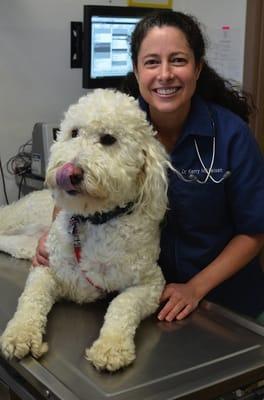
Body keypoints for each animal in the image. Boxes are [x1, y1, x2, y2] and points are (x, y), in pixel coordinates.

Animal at [0, 89, 169, 370]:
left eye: (109, 139)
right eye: (74, 132)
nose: (70, 171)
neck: (93, 221)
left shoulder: (151, 284)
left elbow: (123, 305)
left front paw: (111, 346)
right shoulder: (46, 268)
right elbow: (30, 299)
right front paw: (20, 333)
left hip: (23, 243)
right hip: (17, 216)